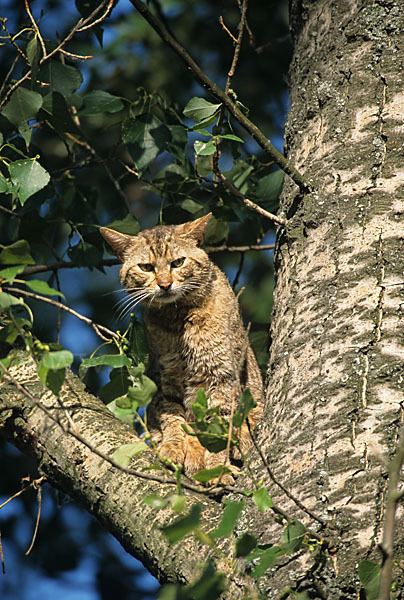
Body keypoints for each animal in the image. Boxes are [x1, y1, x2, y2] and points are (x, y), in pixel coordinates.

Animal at [100, 213, 266, 480]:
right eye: (146, 268)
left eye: (177, 263)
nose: (165, 284)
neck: (178, 318)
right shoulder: (164, 380)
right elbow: (172, 419)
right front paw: (173, 447)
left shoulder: (221, 377)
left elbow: (217, 429)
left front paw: (215, 468)